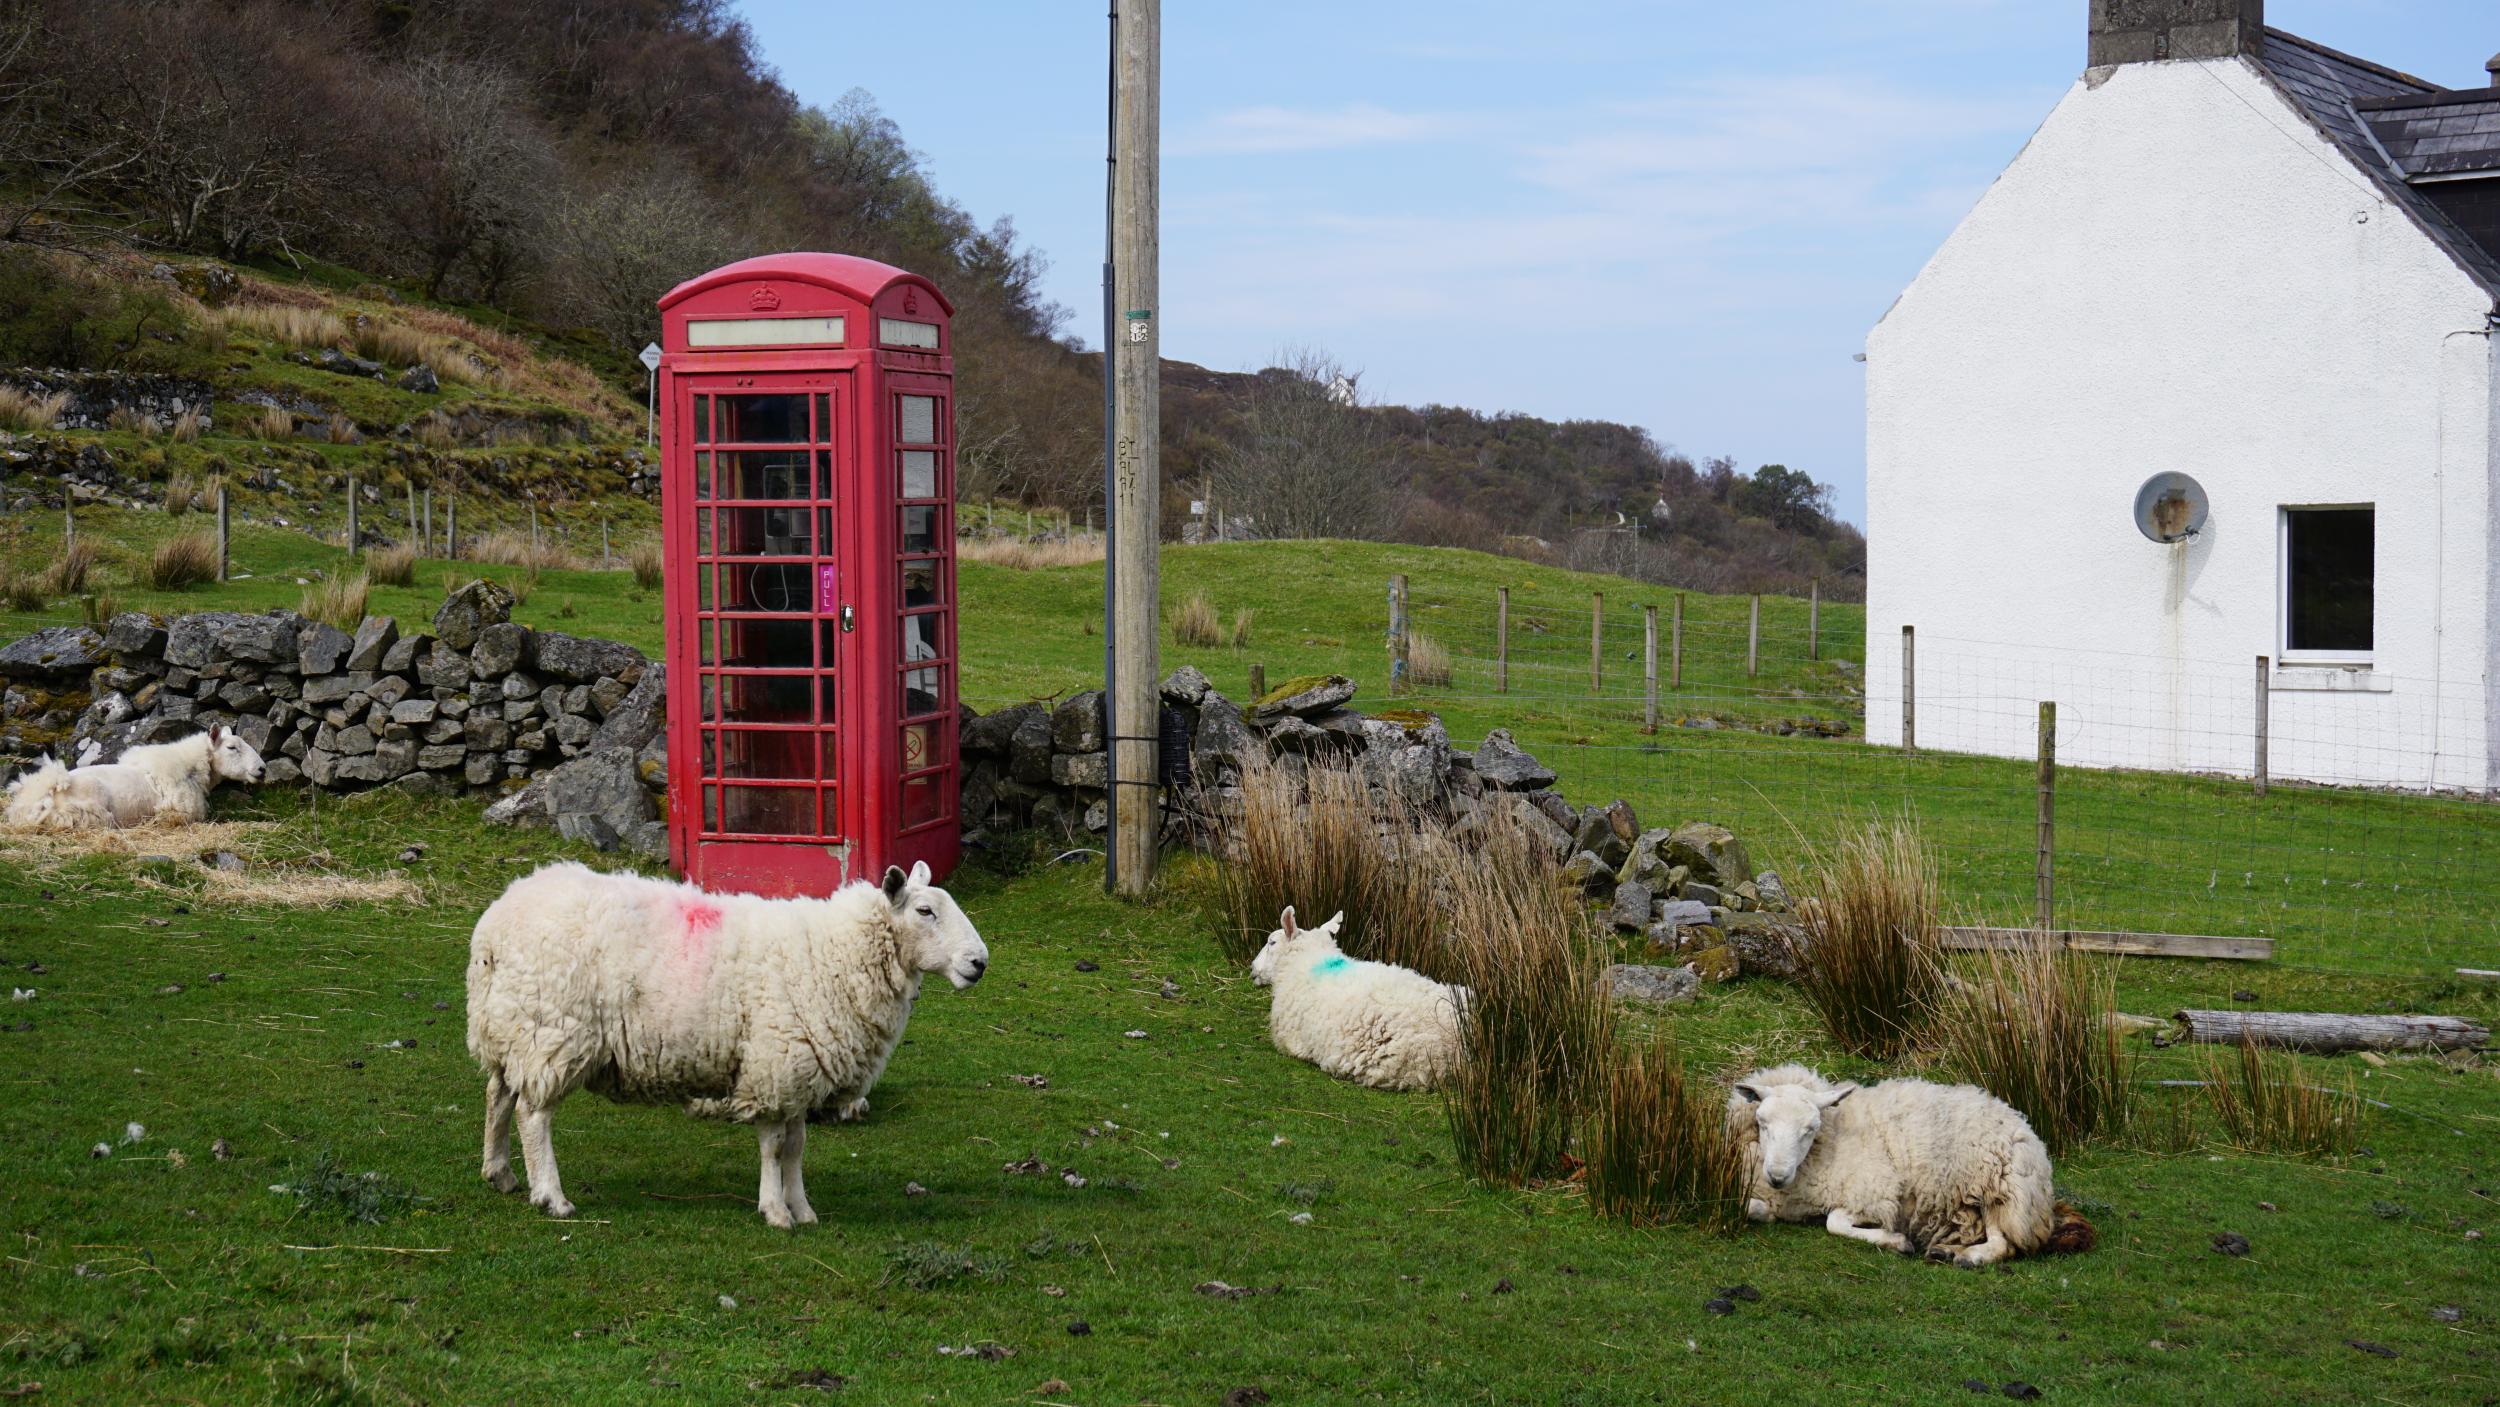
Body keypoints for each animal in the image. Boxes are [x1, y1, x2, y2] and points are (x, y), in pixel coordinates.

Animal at [467, 854, 985, 1229]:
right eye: (925, 911)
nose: (979, 962)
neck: (835, 954)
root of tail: (493, 927)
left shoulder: (798, 1072)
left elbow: (796, 1147)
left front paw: (803, 1209)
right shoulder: (773, 1066)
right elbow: (774, 1148)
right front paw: (776, 1211)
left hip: (511, 1029)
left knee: (498, 1096)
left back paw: (499, 1173)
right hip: (551, 1030)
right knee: (533, 1115)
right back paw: (551, 1196)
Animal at [1720, 1069, 2090, 1264]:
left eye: (1810, 1128)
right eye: (1762, 1122)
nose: (1777, 1176)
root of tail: (2026, 1127)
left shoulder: (1874, 1191)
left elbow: (1834, 1222)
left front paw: (1896, 1240)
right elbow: (1750, 1208)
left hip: (1999, 1191)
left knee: (2004, 1244)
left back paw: (1966, 1257)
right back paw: (1945, 1249)